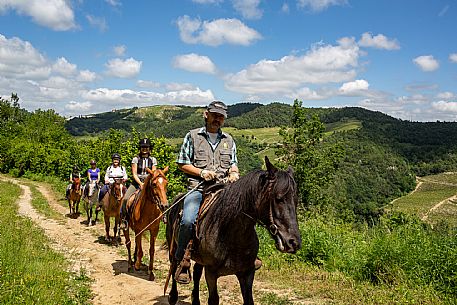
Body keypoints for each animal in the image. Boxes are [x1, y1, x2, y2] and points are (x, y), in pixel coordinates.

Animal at [166, 157, 302, 304]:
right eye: (278, 198)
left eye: (295, 200)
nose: (293, 242)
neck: (229, 234)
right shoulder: (211, 273)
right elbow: (213, 299)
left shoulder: (247, 273)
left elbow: (249, 300)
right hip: (173, 249)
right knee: (174, 266)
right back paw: (173, 294)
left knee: (196, 272)